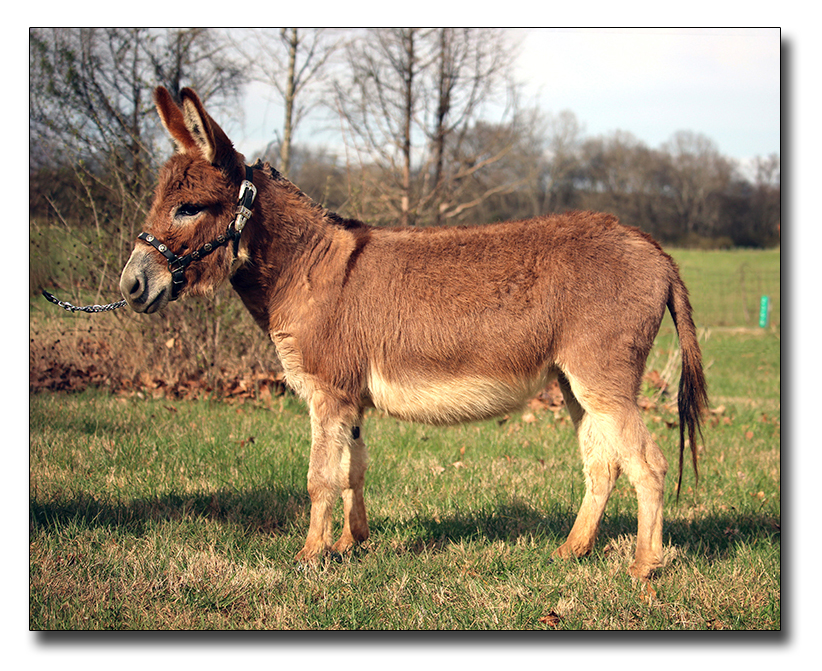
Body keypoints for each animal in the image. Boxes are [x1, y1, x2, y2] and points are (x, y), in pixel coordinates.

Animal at [120, 86, 708, 580]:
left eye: (189, 208)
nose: (130, 285)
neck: (305, 268)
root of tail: (656, 250)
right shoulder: (350, 402)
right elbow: (353, 470)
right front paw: (351, 545)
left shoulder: (328, 395)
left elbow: (319, 477)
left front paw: (309, 557)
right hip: (573, 383)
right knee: (603, 464)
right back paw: (572, 550)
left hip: (603, 380)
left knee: (648, 465)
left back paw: (643, 569)